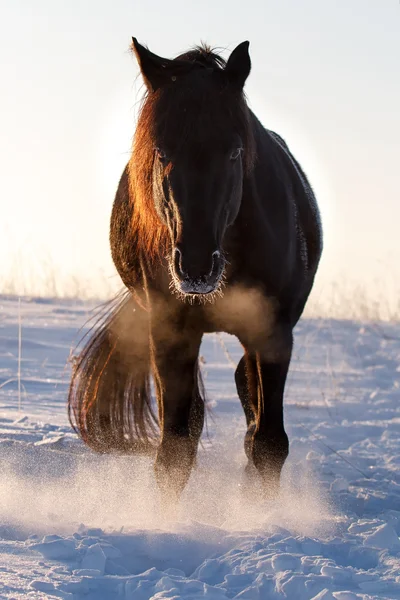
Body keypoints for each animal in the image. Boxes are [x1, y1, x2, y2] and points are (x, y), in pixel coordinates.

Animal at [68, 38, 322, 502]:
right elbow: (174, 449)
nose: (197, 267)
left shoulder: (272, 332)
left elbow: (269, 444)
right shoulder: (171, 331)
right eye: (161, 151)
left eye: (235, 151)